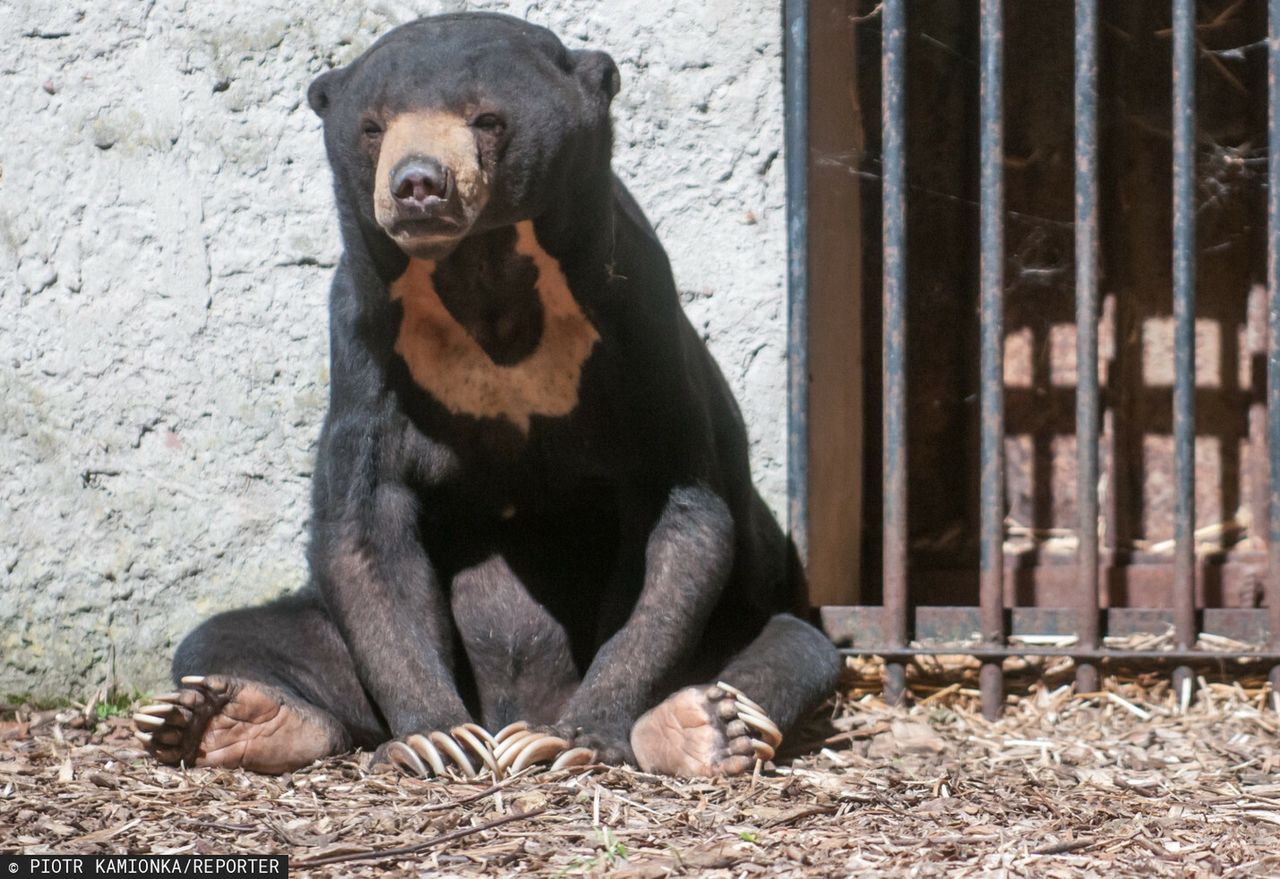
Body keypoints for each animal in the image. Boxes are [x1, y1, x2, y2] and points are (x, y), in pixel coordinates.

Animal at [135, 11, 844, 777]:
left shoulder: (639, 327)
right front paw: (436, 738)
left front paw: (572, 736)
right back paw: (222, 716)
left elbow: (678, 517)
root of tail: (510, 702)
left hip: (750, 614)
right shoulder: (366, 346)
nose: (418, 184)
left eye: (486, 119)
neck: (483, 271)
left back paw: (701, 724)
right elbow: (365, 522)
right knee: (225, 638)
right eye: (374, 127)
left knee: (792, 647)